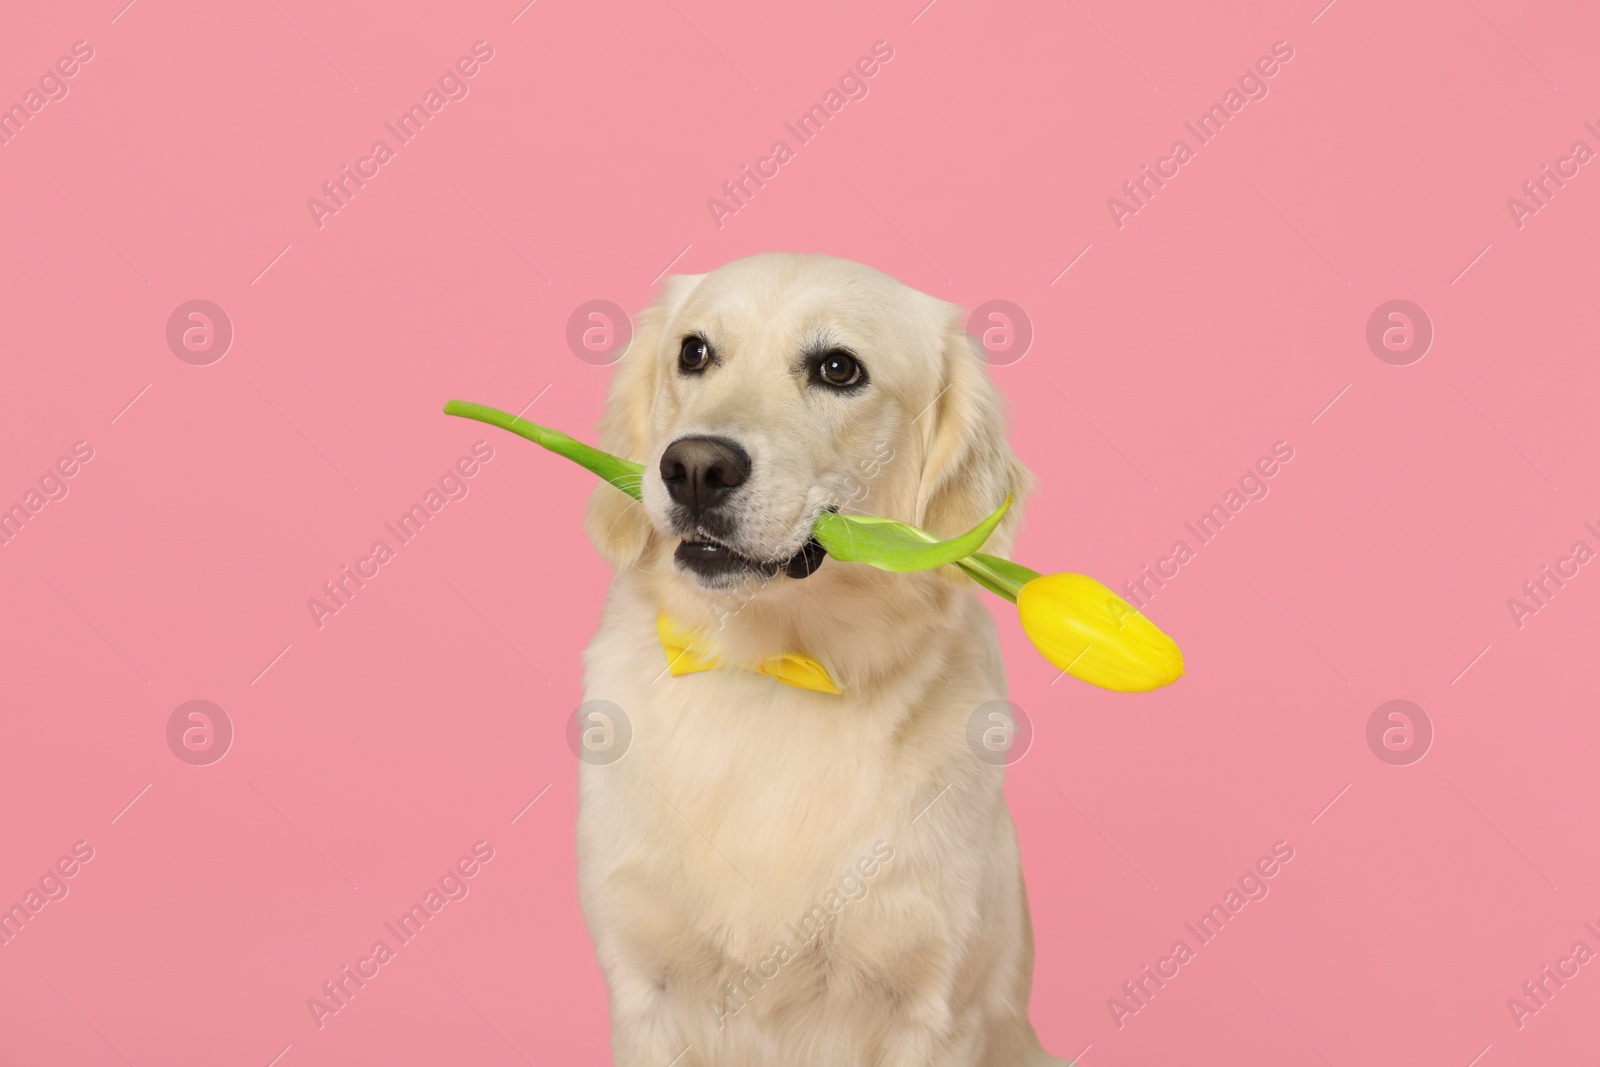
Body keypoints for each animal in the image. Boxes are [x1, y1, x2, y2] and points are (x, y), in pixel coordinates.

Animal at [576, 254, 1062, 1062]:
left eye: (838, 368)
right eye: (693, 352)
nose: (695, 467)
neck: (774, 667)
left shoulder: (933, 1007)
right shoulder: (646, 986)